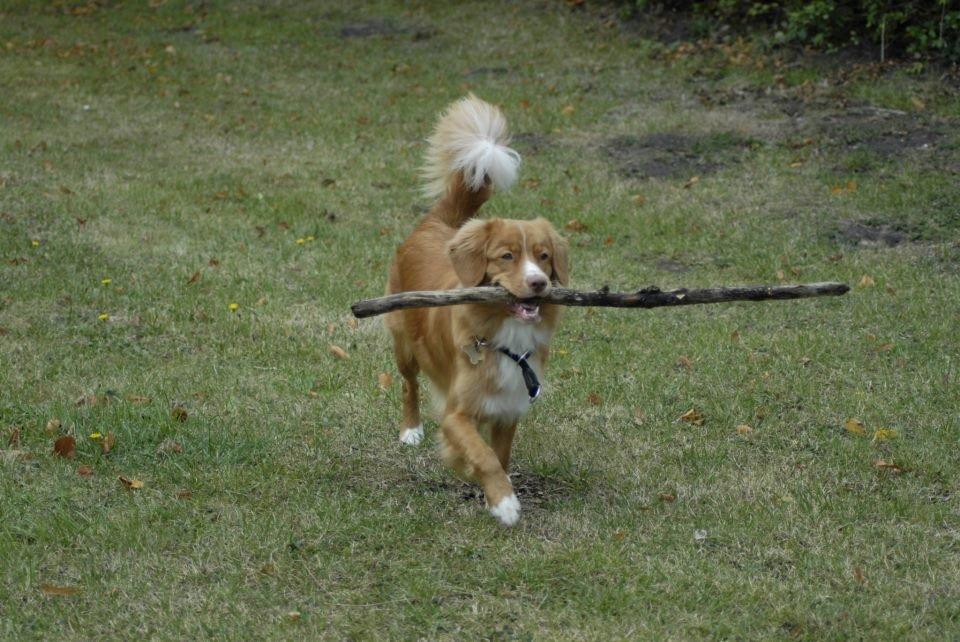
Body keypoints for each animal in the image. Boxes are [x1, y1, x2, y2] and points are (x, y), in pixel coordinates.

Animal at [384, 95, 568, 524]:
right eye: (506, 256)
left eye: (544, 256)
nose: (539, 283)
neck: (504, 335)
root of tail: (439, 223)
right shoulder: (455, 414)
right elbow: (482, 456)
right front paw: (503, 502)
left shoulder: (509, 408)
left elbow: (498, 455)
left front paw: (494, 492)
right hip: (403, 343)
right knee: (408, 384)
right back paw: (410, 430)